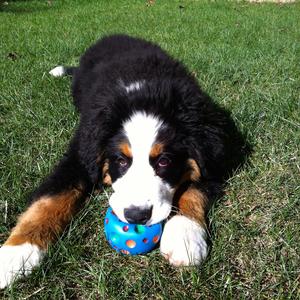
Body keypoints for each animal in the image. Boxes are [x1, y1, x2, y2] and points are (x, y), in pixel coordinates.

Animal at [0, 34, 244, 288]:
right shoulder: (79, 156)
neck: (144, 93)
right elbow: (49, 200)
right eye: (120, 160)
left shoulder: (212, 156)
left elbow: (194, 189)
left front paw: (185, 237)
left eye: (164, 161)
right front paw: (16, 253)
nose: (137, 216)